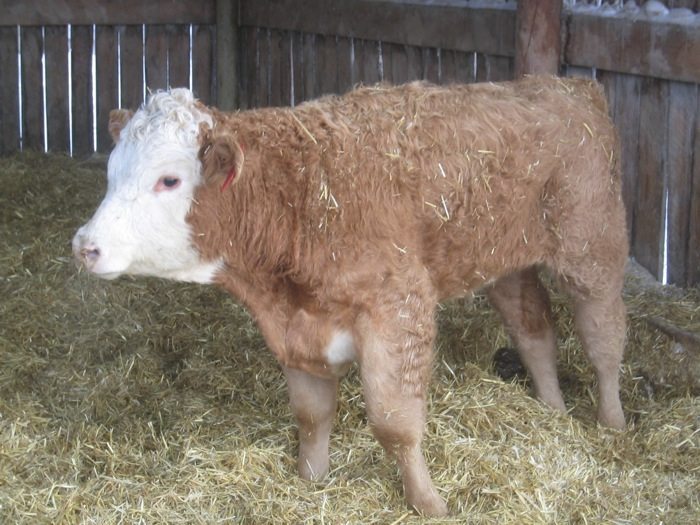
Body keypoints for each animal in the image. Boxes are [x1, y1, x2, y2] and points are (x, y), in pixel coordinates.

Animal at [73, 76, 628, 516]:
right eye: (111, 174)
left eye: (169, 180)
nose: (85, 245)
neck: (299, 200)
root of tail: (569, 86)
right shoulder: (298, 329)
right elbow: (311, 414)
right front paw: (311, 478)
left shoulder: (398, 307)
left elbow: (394, 423)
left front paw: (428, 502)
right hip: (506, 261)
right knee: (534, 329)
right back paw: (553, 411)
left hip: (592, 245)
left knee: (603, 339)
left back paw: (612, 422)